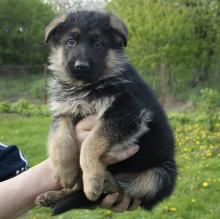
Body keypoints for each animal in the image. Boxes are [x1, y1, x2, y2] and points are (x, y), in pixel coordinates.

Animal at [36, 11, 177, 215]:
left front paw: (93, 180)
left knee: (131, 188)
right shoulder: (65, 111)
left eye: (98, 44)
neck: (87, 86)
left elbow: (91, 143)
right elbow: (60, 139)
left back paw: (108, 183)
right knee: (78, 189)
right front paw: (65, 172)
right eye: (71, 41)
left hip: (162, 174)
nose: (81, 66)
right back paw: (54, 195)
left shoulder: (127, 112)